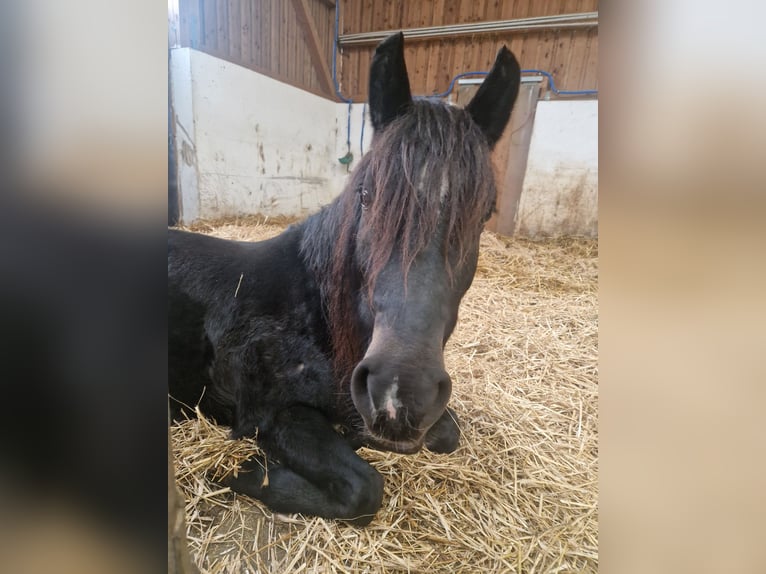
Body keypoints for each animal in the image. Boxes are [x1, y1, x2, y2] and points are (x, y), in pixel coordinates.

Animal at [170, 31, 520, 528]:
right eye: (366, 195)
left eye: (484, 213)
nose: (399, 393)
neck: (315, 311)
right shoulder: (276, 414)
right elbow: (363, 488)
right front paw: (247, 472)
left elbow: (446, 432)